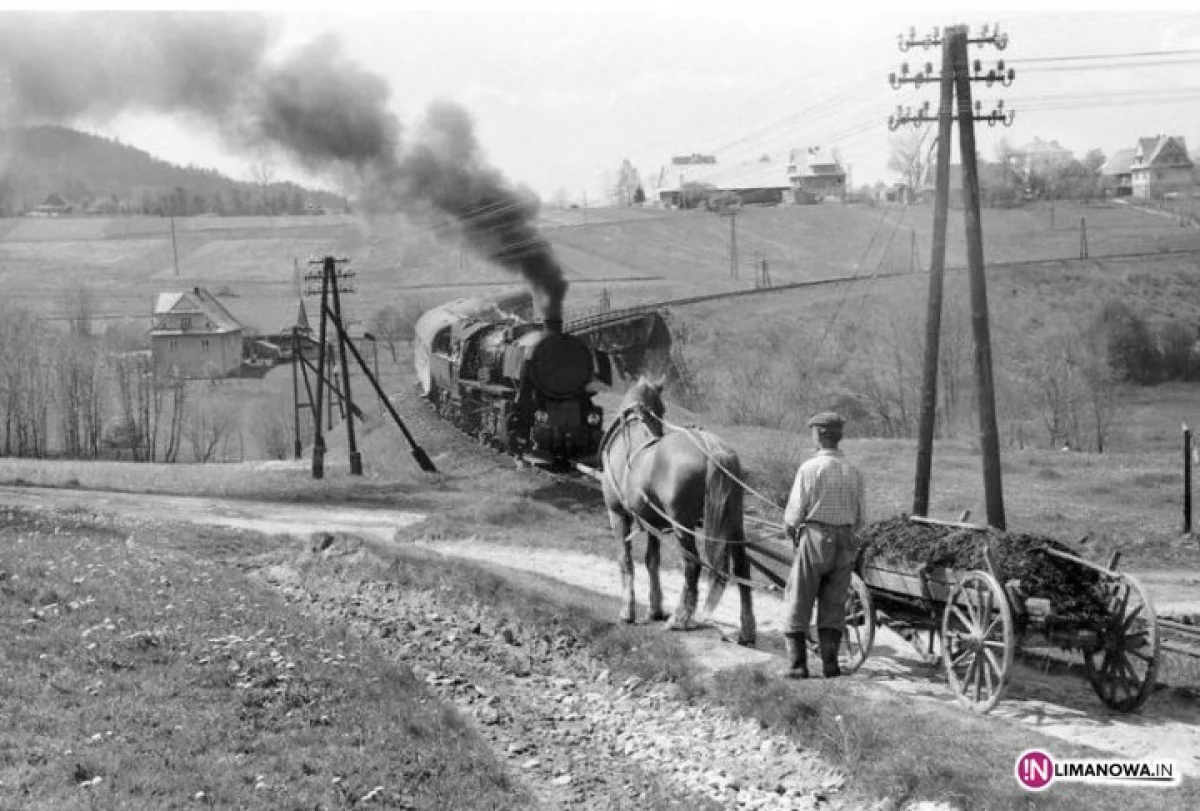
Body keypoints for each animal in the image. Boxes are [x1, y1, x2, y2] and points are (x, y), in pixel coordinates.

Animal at [600, 374, 758, 647]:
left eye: (662, 409)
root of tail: (711, 447)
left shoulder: (618, 515)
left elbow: (626, 561)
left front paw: (627, 612)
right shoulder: (651, 522)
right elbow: (652, 561)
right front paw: (655, 608)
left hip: (681, 524)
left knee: (692, 565)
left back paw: (680, 619)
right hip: (734, 523)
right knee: (741, 568)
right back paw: (746, 630)